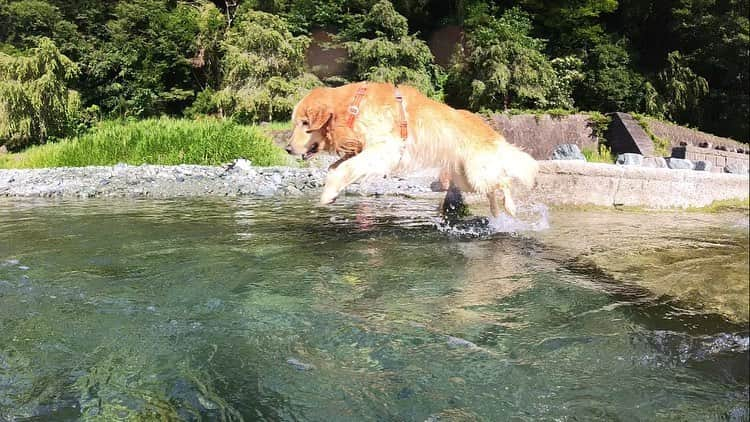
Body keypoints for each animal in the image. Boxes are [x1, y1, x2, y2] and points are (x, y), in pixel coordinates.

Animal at [288, 81, 540, 218]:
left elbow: (344, 168)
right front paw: (329, 194)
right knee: (493, 188)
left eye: (305, 123)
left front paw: (328, 194)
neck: (352, 108)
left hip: (477, 172)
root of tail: (493, 133)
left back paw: (509, 208)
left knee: (504, 181)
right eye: (295, 123)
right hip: (466, 178)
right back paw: (496, 212)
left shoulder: (385, 149)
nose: (288, 148)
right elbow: (336, 168)